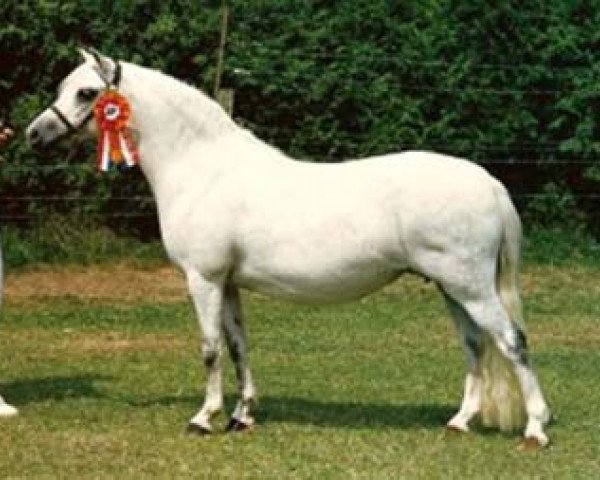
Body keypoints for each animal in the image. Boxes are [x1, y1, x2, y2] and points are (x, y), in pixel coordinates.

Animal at [29, 49, 552, 446]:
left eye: (87, 93)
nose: (35, 134)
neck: (203, 168)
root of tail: (489, 183)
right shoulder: (229, 283)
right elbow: (238, 345)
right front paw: (242, 416)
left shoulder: (204, 279)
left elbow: (210, 348)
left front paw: (204, 418)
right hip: (453, 289)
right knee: (474, 344)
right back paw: (460, 421)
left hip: (471, 288)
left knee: (513, 342)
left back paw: (535, 429)